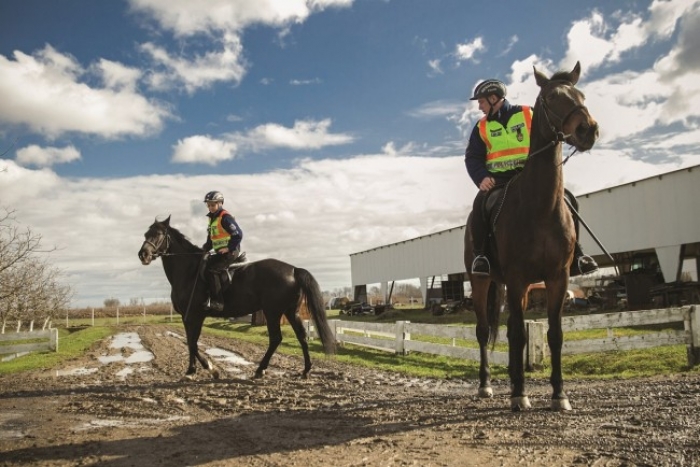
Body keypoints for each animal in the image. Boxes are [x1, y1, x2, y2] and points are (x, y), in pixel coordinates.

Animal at [139, 216, 336, 380]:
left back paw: (260, 370)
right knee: (301, 336)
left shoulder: (196, 315)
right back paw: (305, 370)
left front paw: (211, 369)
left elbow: (192, 344)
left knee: (276, 338)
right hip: (290, 311)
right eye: (146, 234)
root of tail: (293, 269)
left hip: (272, 312)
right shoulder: (186, 317)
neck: (189, 272)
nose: (143, 255)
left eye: (158, 234)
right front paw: (190, 371)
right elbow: (190, 343)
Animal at [462, 61, 600, 410]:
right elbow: (518, 335)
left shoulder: (557, 278)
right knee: (484, 330)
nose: (588, 130)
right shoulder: (517, 277)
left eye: (581, 95)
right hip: (484, 280)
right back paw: (488, 386)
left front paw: (559, 395)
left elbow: (554, 335)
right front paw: (520, 395)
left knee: (510, 329)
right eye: (551, 98)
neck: (540, 206)